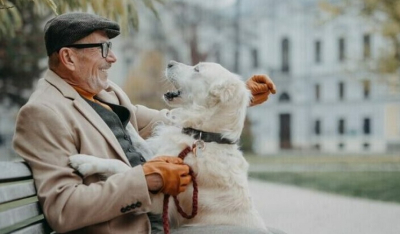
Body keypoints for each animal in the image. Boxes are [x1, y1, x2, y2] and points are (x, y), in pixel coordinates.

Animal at [69, 60, 266, 230]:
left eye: (197, 69)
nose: (169, 63)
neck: (202, 136)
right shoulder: (160, 155)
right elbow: (140, 142)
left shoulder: (157, 201)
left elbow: (124, 168)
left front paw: (85, 161)